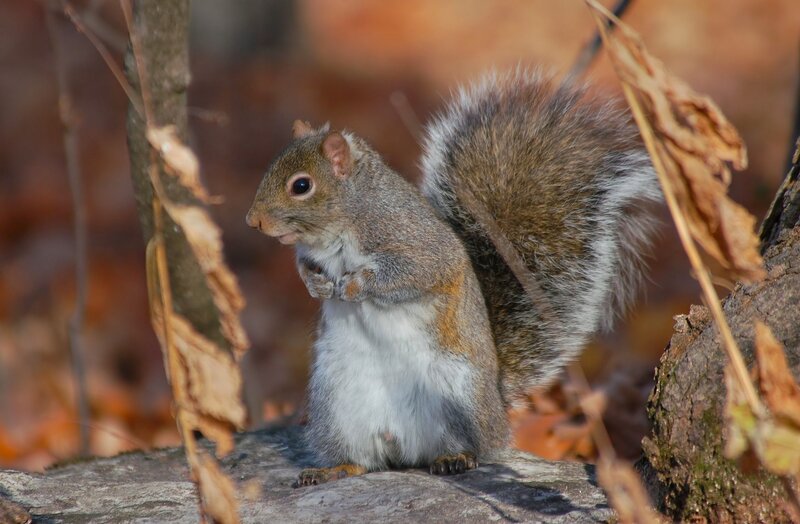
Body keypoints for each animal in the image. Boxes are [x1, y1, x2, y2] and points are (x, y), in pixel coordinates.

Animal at [246, 69, 661, 487]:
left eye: (301, 185)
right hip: (336, 404)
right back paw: (334, 467)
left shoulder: (417, 244)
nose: (253, 221)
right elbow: (305, 269)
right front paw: (315, 286)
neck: (346, 218)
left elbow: (413, 273)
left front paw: (354, 284)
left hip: (459, 393)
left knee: (472, 445)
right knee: (360, 457)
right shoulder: (310, 256)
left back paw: (455, 457)